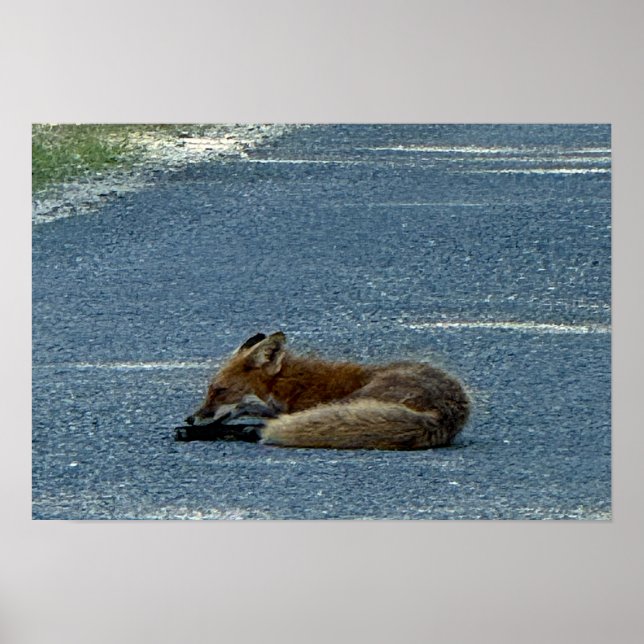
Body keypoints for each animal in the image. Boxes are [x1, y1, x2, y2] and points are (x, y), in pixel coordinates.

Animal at [184, 332, 470, 450]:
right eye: (210, 390)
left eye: (219, 391)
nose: (190, 418)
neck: (291, 387)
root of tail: (447, 413)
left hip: (351, 403)